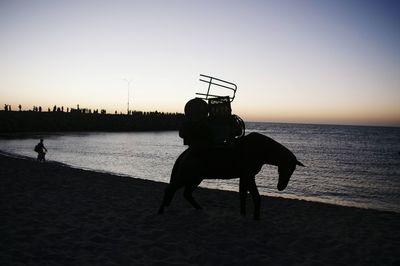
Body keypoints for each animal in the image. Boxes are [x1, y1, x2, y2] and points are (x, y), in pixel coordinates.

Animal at [158, 132, 304, 219]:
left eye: (292, 170)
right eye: (286, 168)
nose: (281, 187)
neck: (262, 150)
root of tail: (185, 153)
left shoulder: (245, 177)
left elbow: (243, 196)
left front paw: (243, 214)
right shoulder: (249, 176)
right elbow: (256, 197)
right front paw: (256, 217)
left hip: (195, 178)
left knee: (186, 194)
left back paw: (199, 208)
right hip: (186, 176)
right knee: (169, 189)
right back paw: (161, 210)